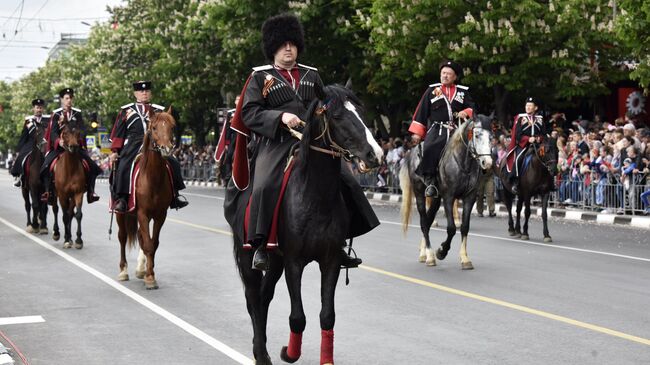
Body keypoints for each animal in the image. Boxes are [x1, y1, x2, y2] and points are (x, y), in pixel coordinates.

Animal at [114, 109, 173, 288]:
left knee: (140, 236)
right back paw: (123, 271)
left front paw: (149, 273)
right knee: (122, 237)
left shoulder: (160, 215)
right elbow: (147, 243)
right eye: (154, 128)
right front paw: (150, 277)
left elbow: (153, 243)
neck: (153, 179)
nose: (166, 148)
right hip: (120, 214)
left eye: (172, 127)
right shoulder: (142, 213)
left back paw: (141, 268)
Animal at [225, 84, 382, 362]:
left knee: (264, 297)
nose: (375, 154)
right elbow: (297, 317)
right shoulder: (294, 262)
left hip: (275, 260)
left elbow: (327, 316)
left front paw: (326, 359)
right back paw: (261, 353)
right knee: (253, 298)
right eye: (337, 116)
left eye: (361, 112)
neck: (315, 196)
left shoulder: (330, 260)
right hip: (248, 255)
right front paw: (289, 353)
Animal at [400, 115, 492, 268]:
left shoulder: (470, 197)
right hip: (419, 193)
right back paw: (429, 256)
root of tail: (412, 152)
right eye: (477, 135)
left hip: (436, 199)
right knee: (424, 222)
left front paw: (465, 258)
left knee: (428, 221)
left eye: (491, 137)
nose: (488, 163)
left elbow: (465, 227)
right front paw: (441, 251)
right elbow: (451, 228)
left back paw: (424, 252)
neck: (463, 164)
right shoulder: (449, 197)